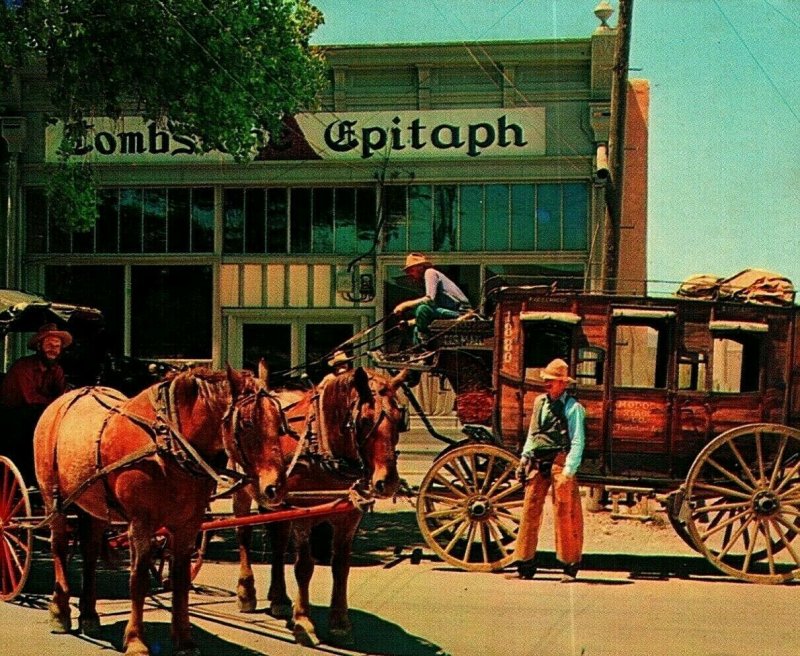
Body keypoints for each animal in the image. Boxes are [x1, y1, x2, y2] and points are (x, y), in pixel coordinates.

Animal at [32, 366, 288, 652]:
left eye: (279, 423)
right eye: (247, 423)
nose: (274, 487)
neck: (168, 442)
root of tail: (65, 399)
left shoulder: (188, 524)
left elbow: (180, 579)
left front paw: (184, 640)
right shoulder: (141, 524)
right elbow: (138, 580)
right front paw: (136, 641)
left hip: (94, 506)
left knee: (89, 551)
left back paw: (89, 614)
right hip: (52, 499)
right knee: (59, 547)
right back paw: (60, 611)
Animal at [231, 366, 406, 648]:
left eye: (400, 419)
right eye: (365, 420)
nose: (387, 482)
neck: (323, 444)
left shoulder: (348, 517)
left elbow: (341, 568)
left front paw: (340, 624)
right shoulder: (303, 514)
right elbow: (304, 567)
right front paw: (303, 622)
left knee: (278, 540)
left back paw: (279, 598)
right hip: (243, 489)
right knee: (244, 535)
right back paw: (246, 592)